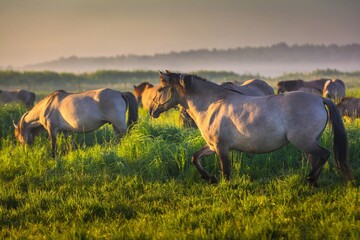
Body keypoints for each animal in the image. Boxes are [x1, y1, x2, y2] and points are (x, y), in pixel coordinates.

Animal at [148, 70, 352, 187]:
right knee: (317, 159)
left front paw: (223, 186)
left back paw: (310, 179)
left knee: (324, 154)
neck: (212, 104)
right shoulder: (213, 147)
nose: (151, 110)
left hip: (305, 141)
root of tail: (320, 99)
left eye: (159, 90)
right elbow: (195, 158)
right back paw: (313, 181)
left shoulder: (221, 148)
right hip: (308, 143)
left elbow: (226, 172)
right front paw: (210, 178)